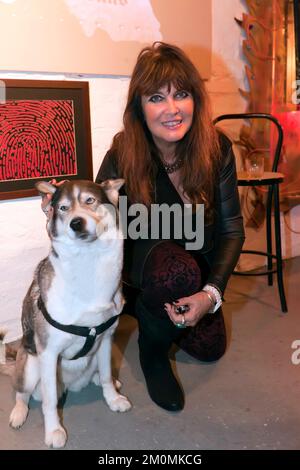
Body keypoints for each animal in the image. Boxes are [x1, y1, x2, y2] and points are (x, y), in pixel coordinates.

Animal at [7, 179, 130, 448]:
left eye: (89, 201)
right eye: (63, 208)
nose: (76, 223)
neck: (88, 264)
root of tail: (73, 386)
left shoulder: (107, 339)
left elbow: (107, 376)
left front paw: (113, 398)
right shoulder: (49, 352)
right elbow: (51, 402)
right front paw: (54, 431)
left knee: (101, 374)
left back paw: (106, 382)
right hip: (30, 366)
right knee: (22, 394)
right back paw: (19, 413)